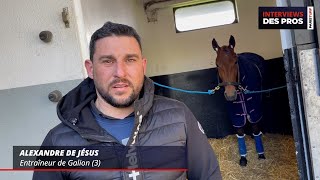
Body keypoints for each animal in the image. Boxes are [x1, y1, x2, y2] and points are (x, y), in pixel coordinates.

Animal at [211, 35, 266, 167]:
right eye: (217, 64)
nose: (231, 95)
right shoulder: (235, 110)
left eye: (235, 61)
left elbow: (255, 127)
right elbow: (240, 132)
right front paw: (243, 158)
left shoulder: (254, 106)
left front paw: (261, 155)